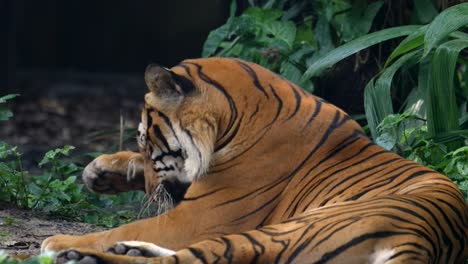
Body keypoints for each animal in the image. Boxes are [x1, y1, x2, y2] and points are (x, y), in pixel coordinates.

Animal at [41, 56, 468, 262]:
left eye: (148, 143)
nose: (147, 188)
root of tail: (423, 241)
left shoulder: (196, 218)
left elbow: (113, 229)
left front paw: (59, 240)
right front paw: (99, 171)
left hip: (285, 232)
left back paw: (74, 252)